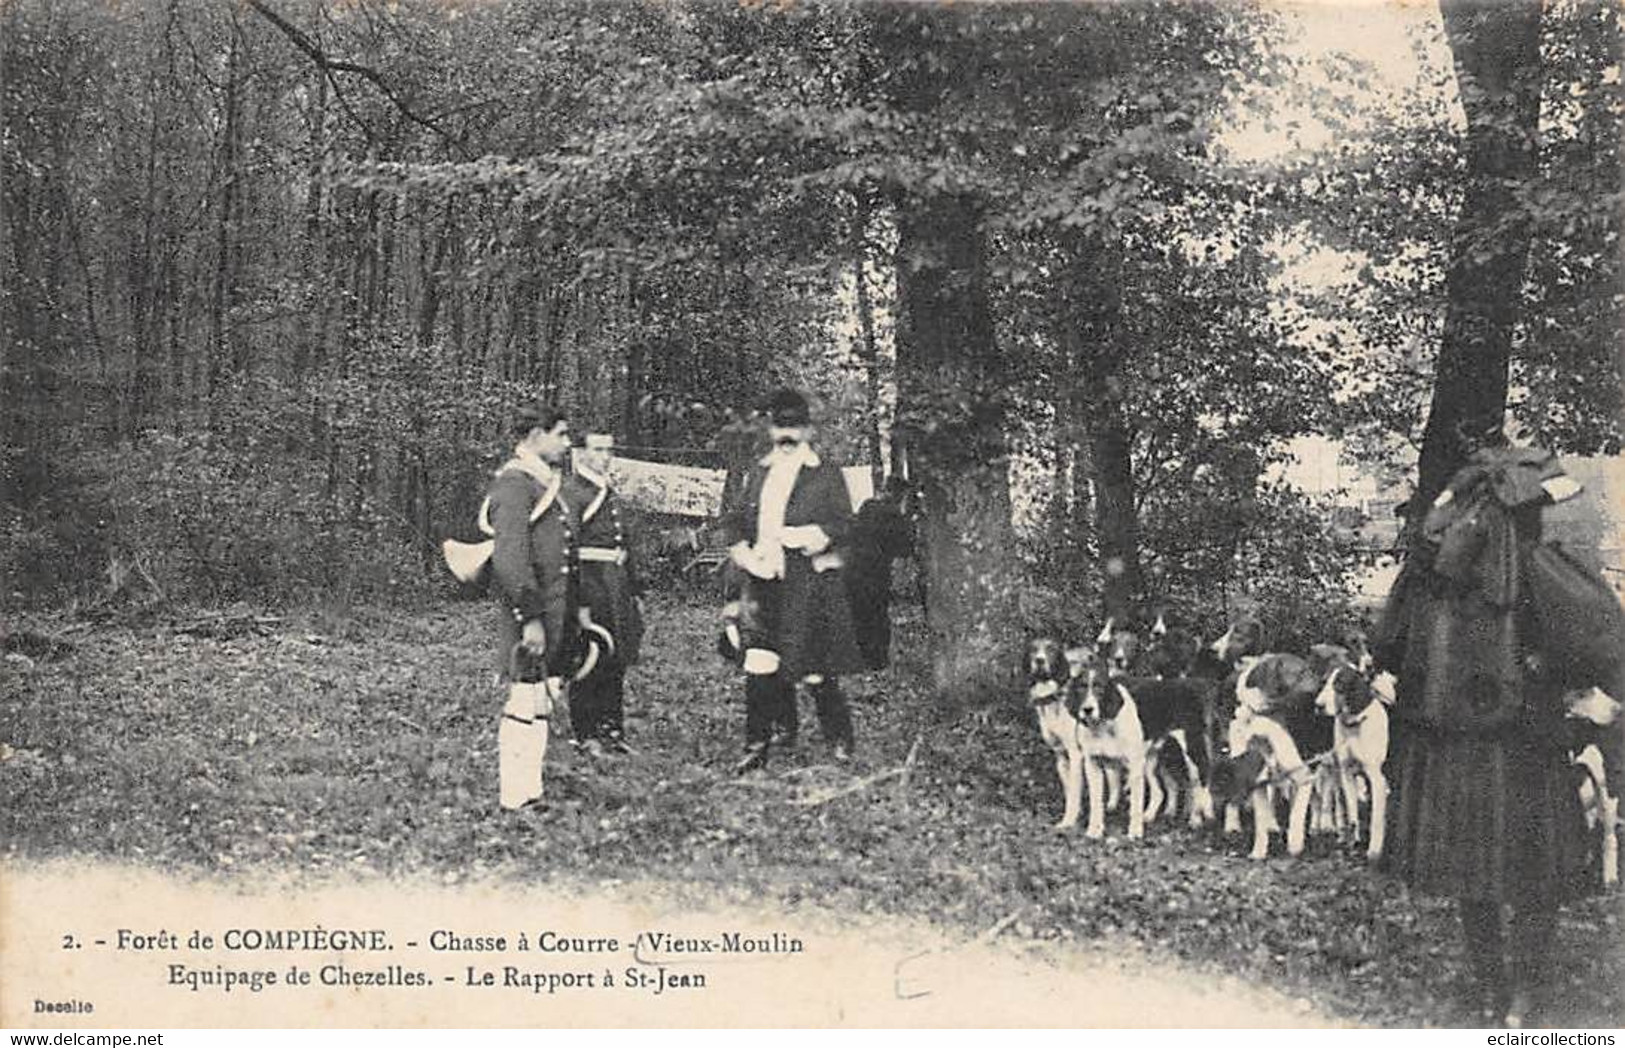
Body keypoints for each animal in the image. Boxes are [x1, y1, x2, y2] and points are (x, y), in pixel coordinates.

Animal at [1313, 646, 1391, 857]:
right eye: (1324, 682)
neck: (1354, 725)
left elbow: (1376, 819)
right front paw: (1352, 842)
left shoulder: (1376, 779)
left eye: (1339, 685)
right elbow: (1351, 811)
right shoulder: (1346, 772)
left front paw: (1374, 850)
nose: (1318, 705)